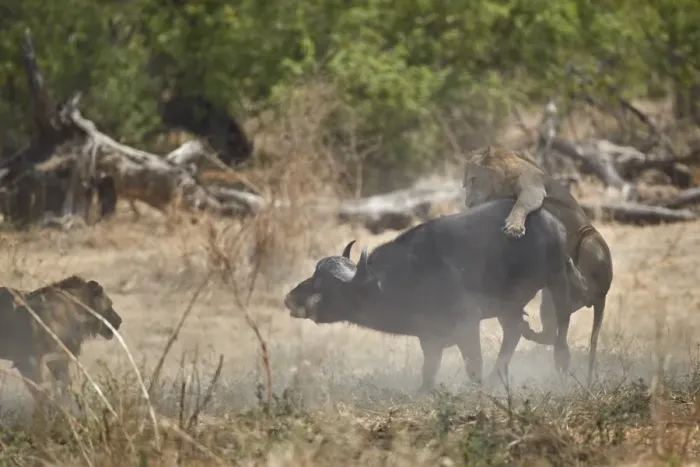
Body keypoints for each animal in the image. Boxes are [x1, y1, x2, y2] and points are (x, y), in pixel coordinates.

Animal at [462, 145, 614, 382]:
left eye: (473, 180)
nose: (467, 203)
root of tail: (600, 297)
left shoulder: (533, 189)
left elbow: (521, 204)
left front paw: (514, 227)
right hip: (548, 301)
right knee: (554, 330)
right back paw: (530, 331)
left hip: (590, 238)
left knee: (588, 285)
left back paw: (571, 268)